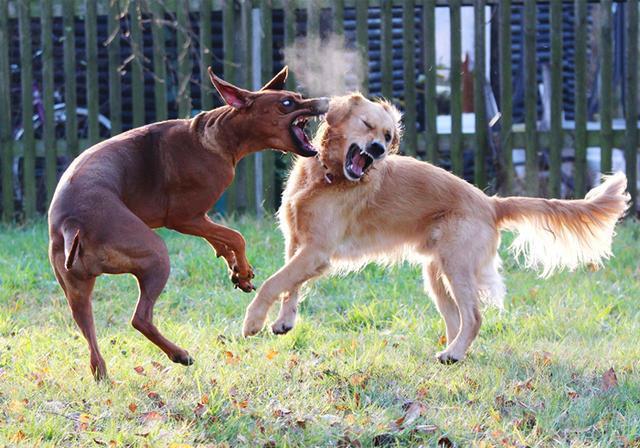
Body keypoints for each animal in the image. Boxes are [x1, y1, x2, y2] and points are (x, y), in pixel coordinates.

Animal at [49, 66, 328, 380]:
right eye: (287, 103)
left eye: (297, 97)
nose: (326, 102)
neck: (218, 135)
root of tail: (72, 223)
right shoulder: (183, 217)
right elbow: (236, 236)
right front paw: (242, 269)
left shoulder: (199, 218)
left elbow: (222, 241)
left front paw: (237, 271)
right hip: (155, 254)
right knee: (140, 318)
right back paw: (179, 354)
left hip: (76, 290)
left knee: (89, 331)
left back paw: (103, 373)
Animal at [242, 93, 628, 364]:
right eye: (366, 124)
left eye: (388, 135)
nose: (378, 150)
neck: (327, 176)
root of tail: (491, 203)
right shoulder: (299, 244)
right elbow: (290, 286)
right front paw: (284, 321)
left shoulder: (317, 250)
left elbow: (274, 283)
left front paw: (253, 322)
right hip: (436, 272)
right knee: (457, 319)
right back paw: (454, 352)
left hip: (457, 267)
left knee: (474, 317)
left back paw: (453, 353)